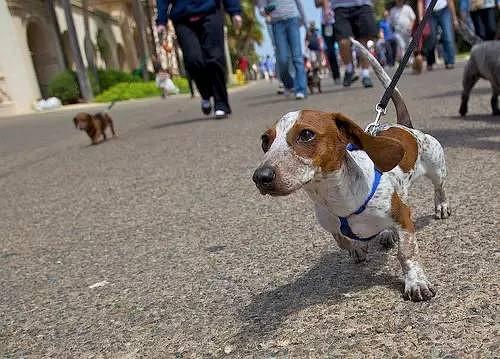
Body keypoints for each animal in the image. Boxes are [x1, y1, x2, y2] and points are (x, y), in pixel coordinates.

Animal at [252, 39, 452, 302]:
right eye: (265, 141)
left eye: (306, 134)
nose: (260, 177)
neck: (335, 199)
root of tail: (405, 126)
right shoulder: (329, 224)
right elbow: (343, 241)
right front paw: (358, 249)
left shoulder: (403, 218)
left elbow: (407, 253)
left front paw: (415, 283)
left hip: (436, 168)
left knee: (439, 188)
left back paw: (441, 206)